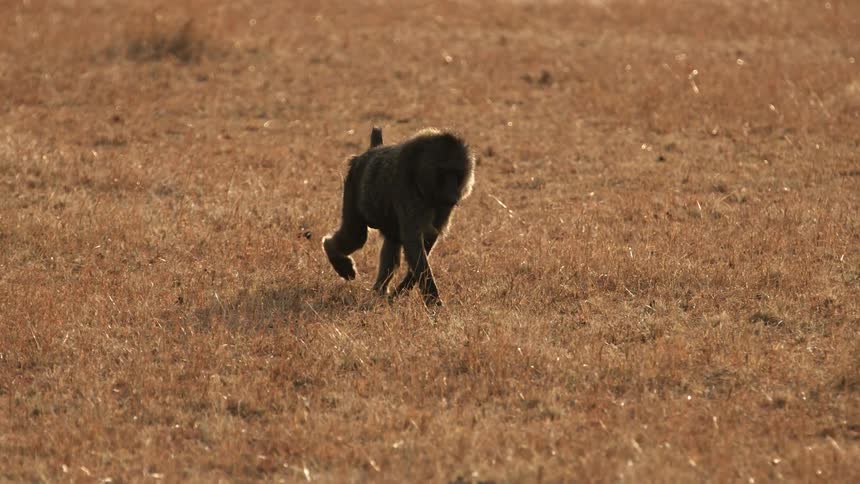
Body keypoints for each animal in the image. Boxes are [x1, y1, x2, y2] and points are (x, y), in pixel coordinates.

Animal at [323, 126, 475, 306]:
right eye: (445, 173)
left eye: (457, 174)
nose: (454, 196)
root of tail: (370, 152)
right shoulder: (406, 188)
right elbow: (414, 242)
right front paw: (434, 302)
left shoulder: (443, 206)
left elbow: (428, 238)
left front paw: (400, 292)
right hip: (353, 184)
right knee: (355, 236)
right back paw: (338, 260)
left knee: (390, 246)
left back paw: (379, 291)